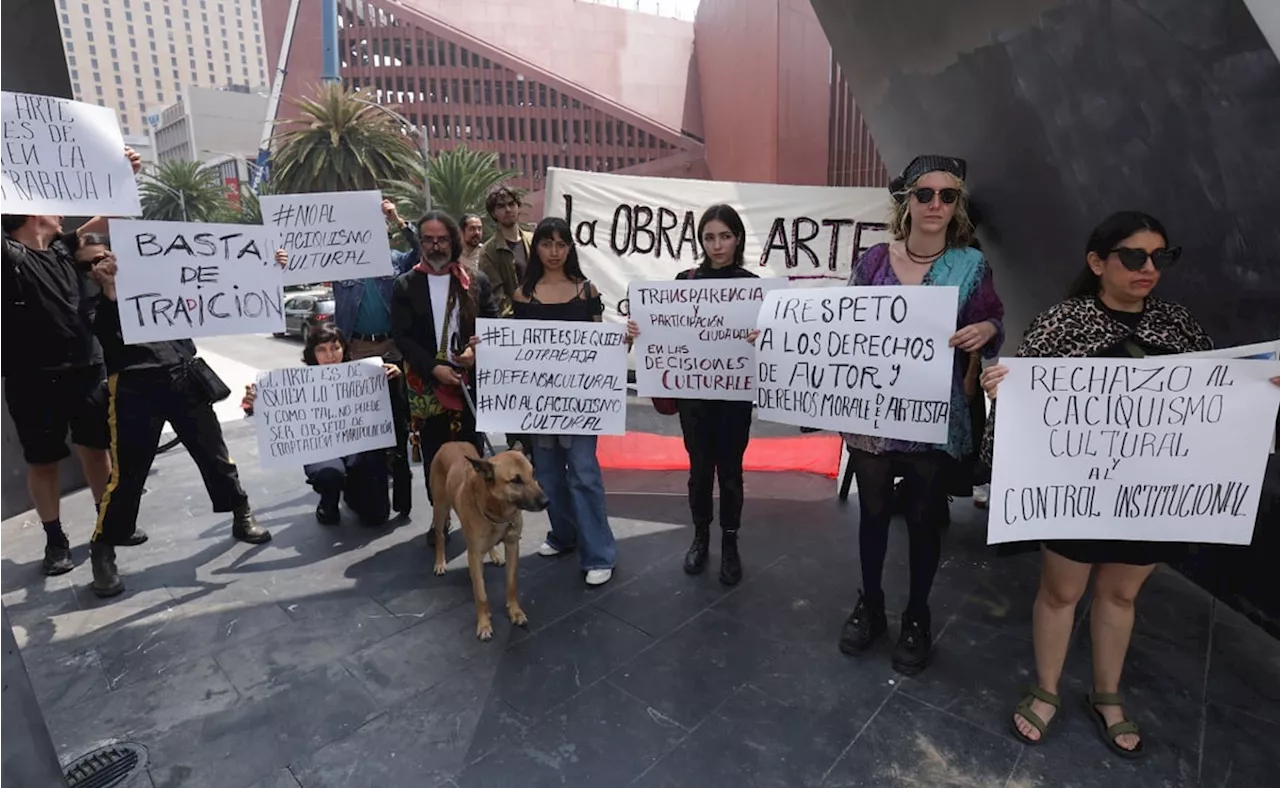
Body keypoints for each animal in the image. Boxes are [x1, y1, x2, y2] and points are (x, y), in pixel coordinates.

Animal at [432, 440, 547, 642]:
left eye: (532, 474)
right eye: (516, 480)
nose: (546, 501)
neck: (498, 512)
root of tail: (451, 442)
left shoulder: (512, 545)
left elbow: (511, 584)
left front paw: (515, 612)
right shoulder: (474, 556)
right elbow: (481, 595)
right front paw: (484, 624)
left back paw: (495, 555)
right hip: (440, 508)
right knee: (440, 535)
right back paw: (440, 562)